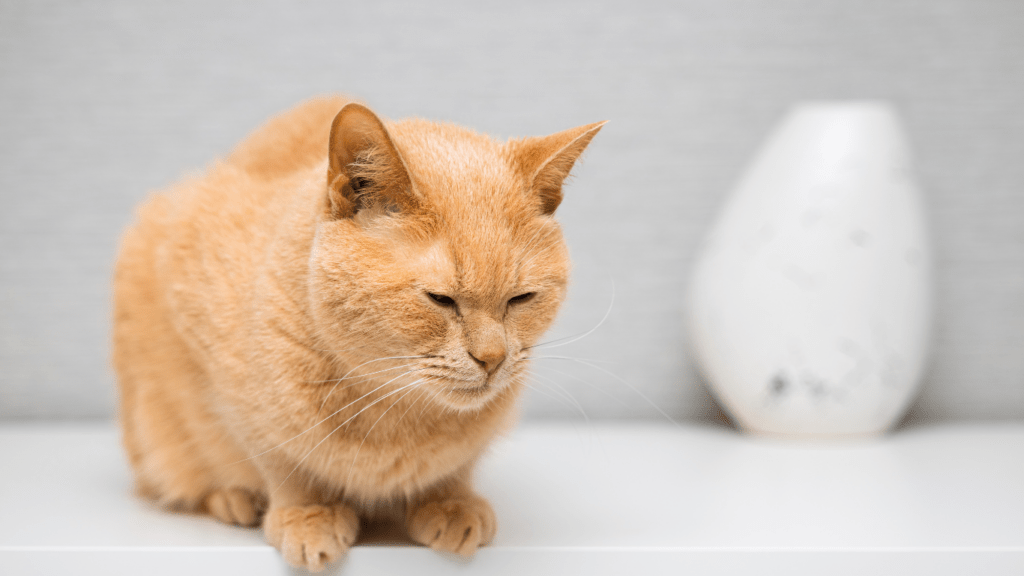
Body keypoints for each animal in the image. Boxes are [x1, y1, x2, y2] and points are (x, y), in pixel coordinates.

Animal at [114, 96, 598, 565]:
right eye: (440, 299)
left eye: (521, 299)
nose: (493, 358)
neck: (395, 409)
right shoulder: (231, 387)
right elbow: (284, 462)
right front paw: (308, 514)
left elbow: (454, 468)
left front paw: (449, 502)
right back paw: (232, 498)